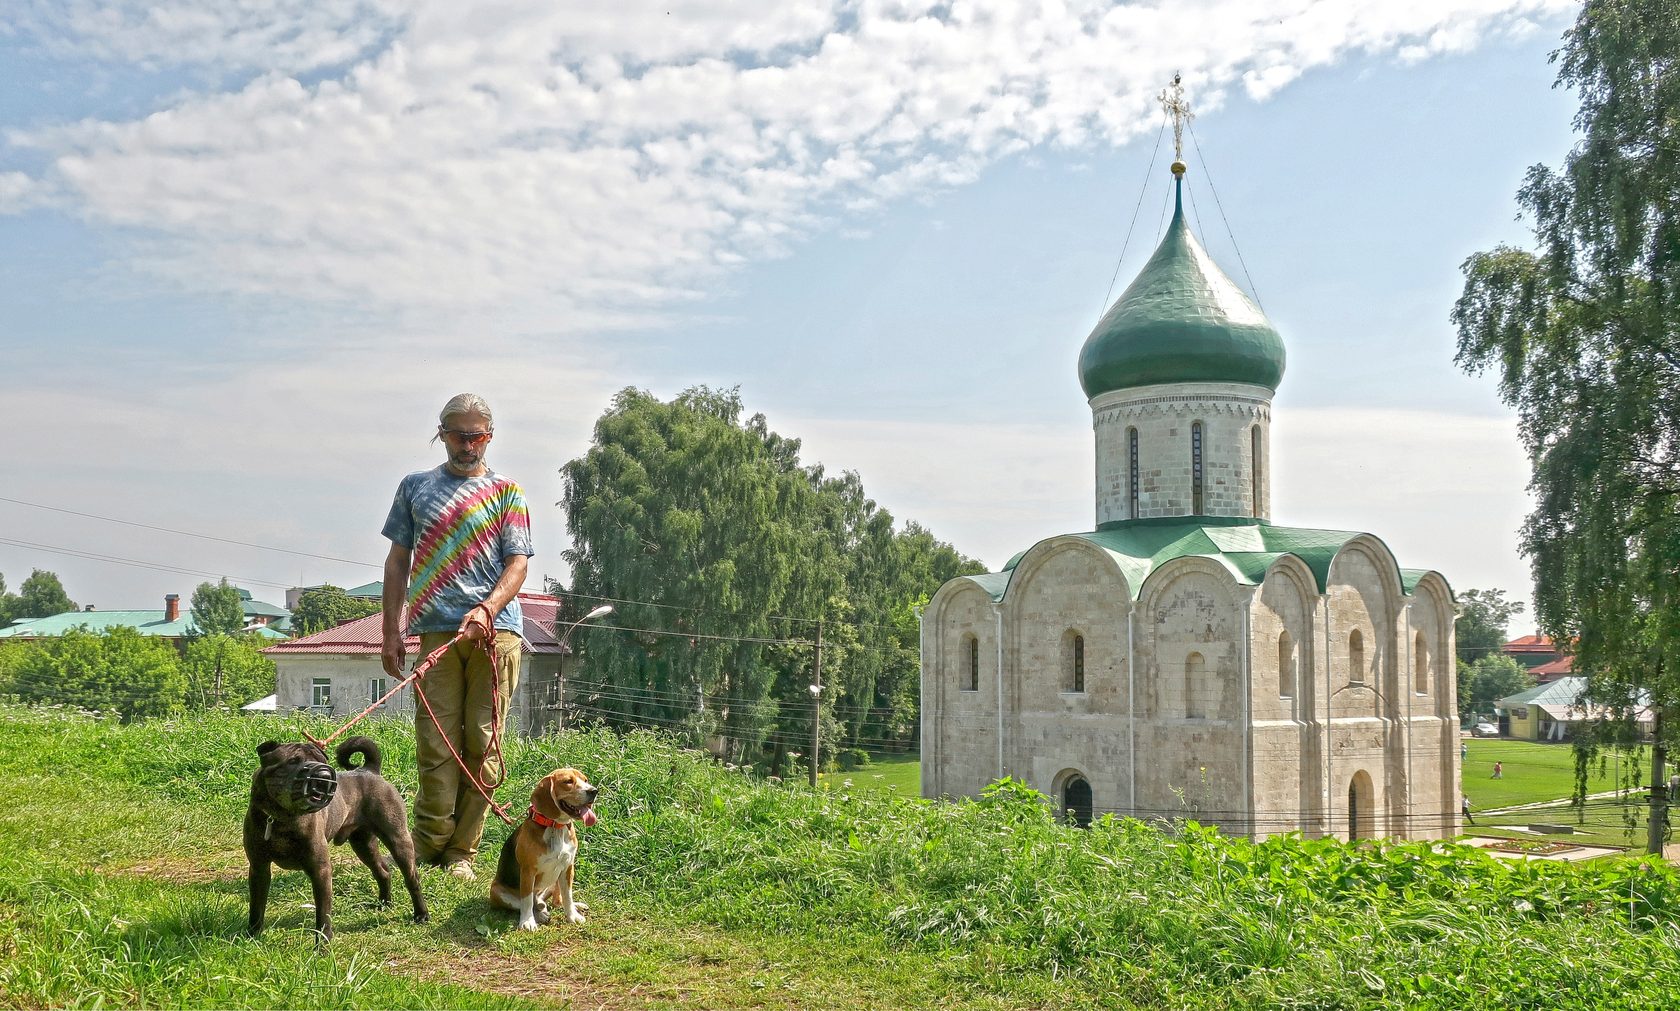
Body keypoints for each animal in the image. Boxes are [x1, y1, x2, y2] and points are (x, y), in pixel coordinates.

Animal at [248, 732, 433, 933]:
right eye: (293, 761)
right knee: (383, 872)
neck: (282, 818)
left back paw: (421, 914)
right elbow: (256, 907)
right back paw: (383, 904)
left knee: (412, 879)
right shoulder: (259, 868)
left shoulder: (321, 870)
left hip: (398, 841)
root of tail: (370, 770)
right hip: (363, 845)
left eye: (321, 761)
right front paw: (252, 934)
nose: (323, 775)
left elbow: (323, 915)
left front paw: (323, 941)